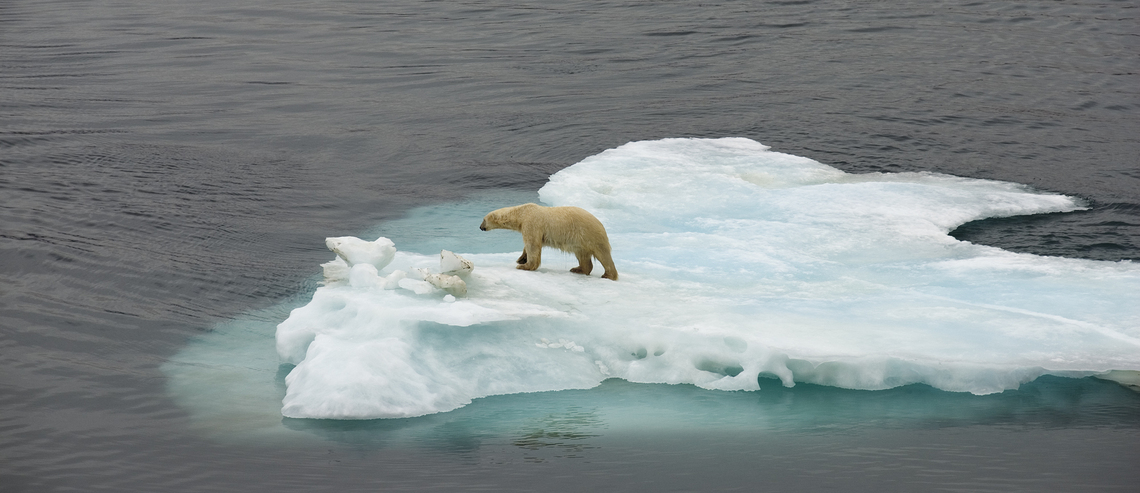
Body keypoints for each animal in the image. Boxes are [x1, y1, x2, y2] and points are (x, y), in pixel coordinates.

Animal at [480, 203, 618, 281]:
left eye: (483, 220)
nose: (480, 227)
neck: (522, 213)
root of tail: (600, 224)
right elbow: (528, 246)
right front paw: (521, 259)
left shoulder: (532, 223)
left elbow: (532, 245)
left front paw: (524, 266)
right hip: (580, 242)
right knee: (583, 256)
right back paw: (578, 269)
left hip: (590, 235)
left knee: (603, 255)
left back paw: (608, 275)